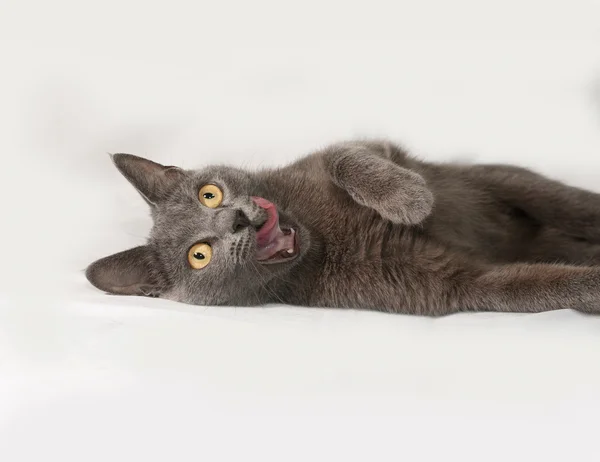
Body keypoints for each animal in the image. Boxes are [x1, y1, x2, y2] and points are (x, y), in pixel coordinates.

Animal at [85, 139, 600, 316]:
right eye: (200, 255)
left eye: (208, 194)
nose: (236, 217)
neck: (321, 235)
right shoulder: (453, 285)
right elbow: (533, 286)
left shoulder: (364, 149)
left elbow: (342, 156)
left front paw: (407, 199)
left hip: (504, 180)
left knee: (568, 202)